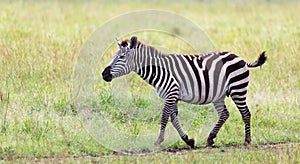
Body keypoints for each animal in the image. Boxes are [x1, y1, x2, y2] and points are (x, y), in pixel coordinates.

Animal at [102, 36, 266, 149]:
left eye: (121, 57)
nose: (104, 74)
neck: (159, 70)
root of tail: (241, 59)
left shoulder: (171, 93)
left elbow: (164, 117)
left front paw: (158, 141)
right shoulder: (173, 96)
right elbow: (173, 119)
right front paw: (189, 140)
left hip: (238, 90)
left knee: (245, 113)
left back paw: (247, 141)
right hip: (219, 95)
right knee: (224, 114)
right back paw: (210, 139)